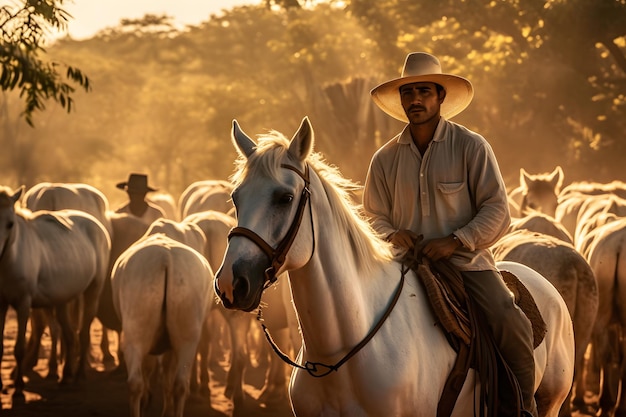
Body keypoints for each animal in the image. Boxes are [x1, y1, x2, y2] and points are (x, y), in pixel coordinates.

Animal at [0, 184, 109, 396]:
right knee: (69, 335)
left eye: (10, 224)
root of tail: (94, 223)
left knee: (83, 334)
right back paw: (66, 375)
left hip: (92, 292)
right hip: (62, 301)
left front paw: (19, 387)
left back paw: (79, 375)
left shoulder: (24, 304)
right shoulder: (1, 304)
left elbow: (19, 347)